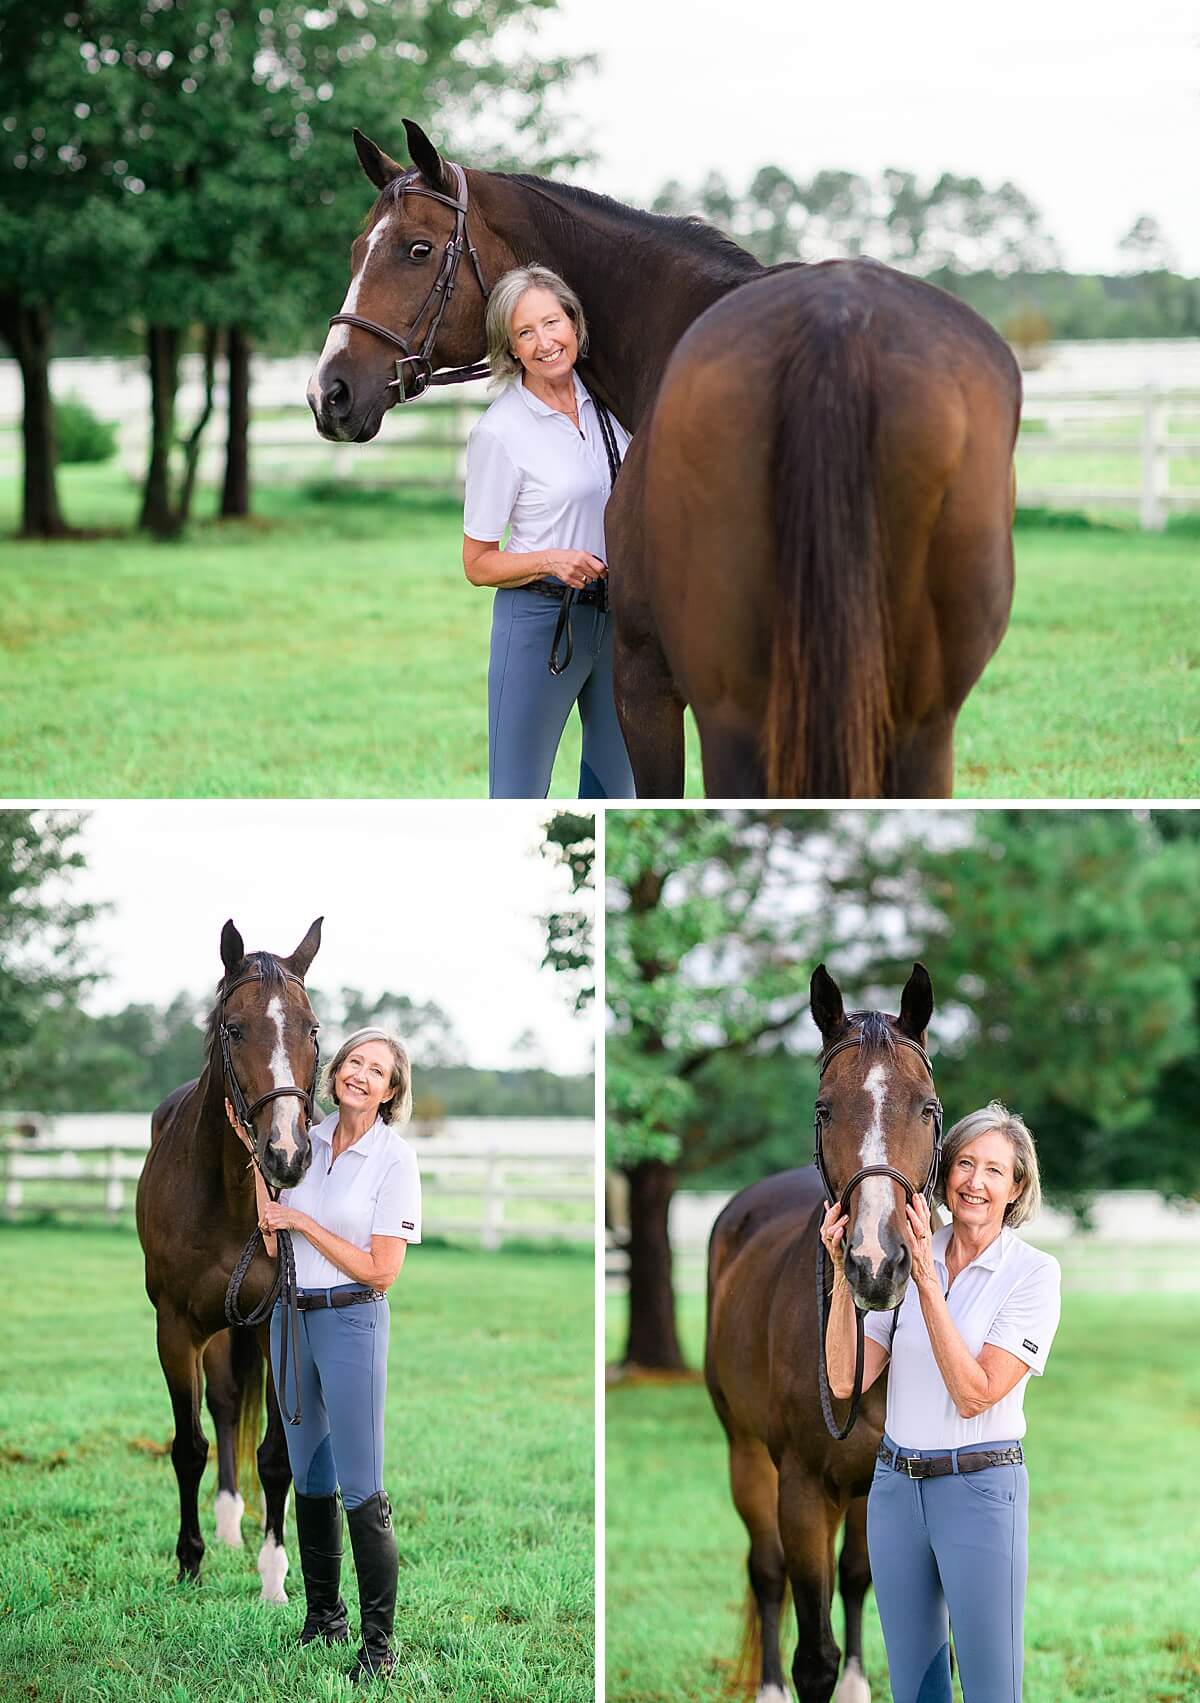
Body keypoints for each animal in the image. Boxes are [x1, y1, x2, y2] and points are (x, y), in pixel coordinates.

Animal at [135, 917, 323, 1595]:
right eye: (234, 1029)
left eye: (312, 1029)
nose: (287, 1153)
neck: (232, 1198)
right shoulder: (175, 1328)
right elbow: (189, 1445)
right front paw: (189, 1560)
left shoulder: (277, 1324)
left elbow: (276, 1454)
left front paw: (274, 1575)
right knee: (220, 1405)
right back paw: (223, 1522)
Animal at [308, 121, 1020, 799]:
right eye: (355, 251)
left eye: (417, 249)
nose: (329, 393)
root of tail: (837, 323)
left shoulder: (643, 679)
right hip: (922, 720)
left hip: (732, 707)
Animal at [704, 963, 941, 1703]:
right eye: (823, 1109)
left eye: (927, 1108)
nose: (875, 1261)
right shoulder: (804, 1487)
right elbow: (813, 1651)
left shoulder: (873, 1482)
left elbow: (861, 1580)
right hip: (747, 1454)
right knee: (767, 1570)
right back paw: (768, 1687)